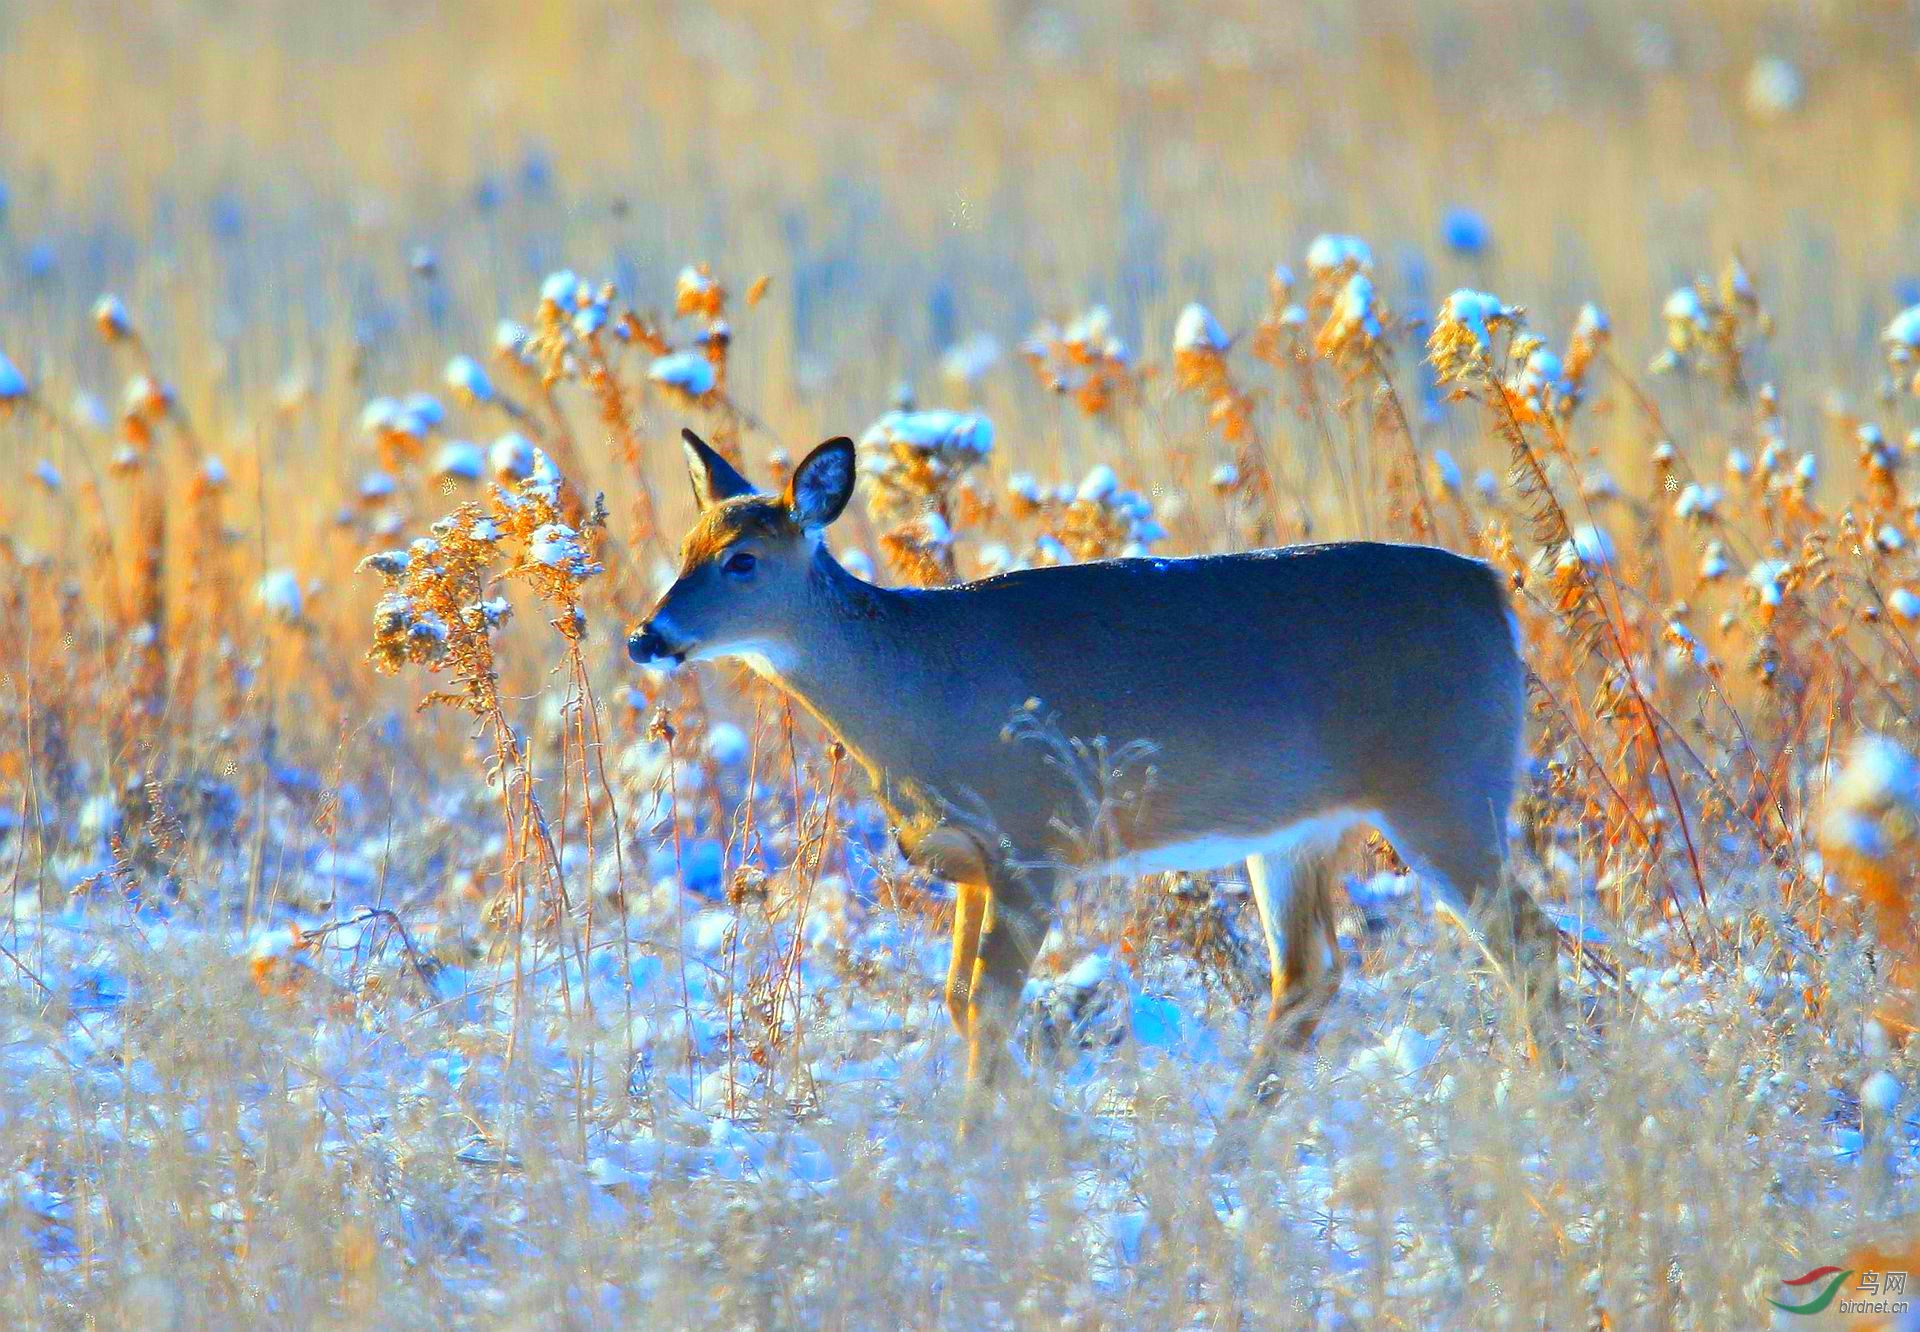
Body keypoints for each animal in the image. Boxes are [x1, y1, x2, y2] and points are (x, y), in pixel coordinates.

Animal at [629, 433, 1559, 1120]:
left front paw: (985, 1151)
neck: (918, 692)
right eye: (685, 547)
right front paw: (1044, 1128)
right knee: (1310, 975)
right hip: (1297, 831)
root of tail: (1493, 594)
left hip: (1446, 785)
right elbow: (959, 999)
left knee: (1528, 946)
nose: (647, 636)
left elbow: (988, 1006)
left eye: (742, 561)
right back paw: (1229, 1150)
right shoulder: (975, 862)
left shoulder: (1036, 841)